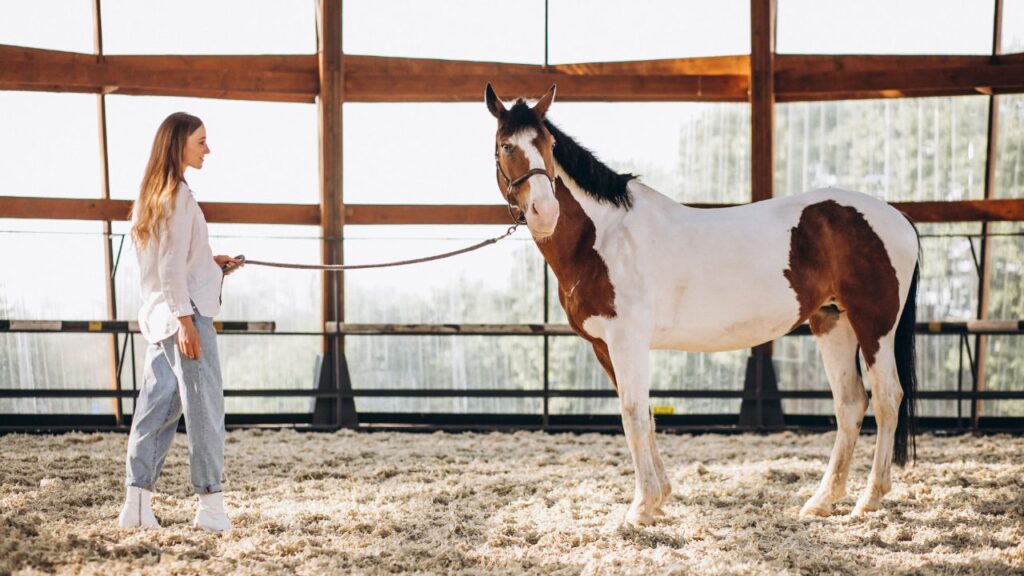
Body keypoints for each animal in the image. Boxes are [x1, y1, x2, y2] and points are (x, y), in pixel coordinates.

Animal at [484, 83, 920, 525]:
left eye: (549, 145)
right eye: (506, 145)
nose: (545, 212)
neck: (602, 236)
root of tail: (898, 217)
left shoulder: (627, 342)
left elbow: (632, 415)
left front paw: (640, 508)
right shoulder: (606, 347)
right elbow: (645, 415)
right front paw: (658, 498)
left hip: (874, 326)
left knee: (887, 400)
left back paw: (869, 499)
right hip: (832, 322)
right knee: (851, 404)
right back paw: (822, 500)